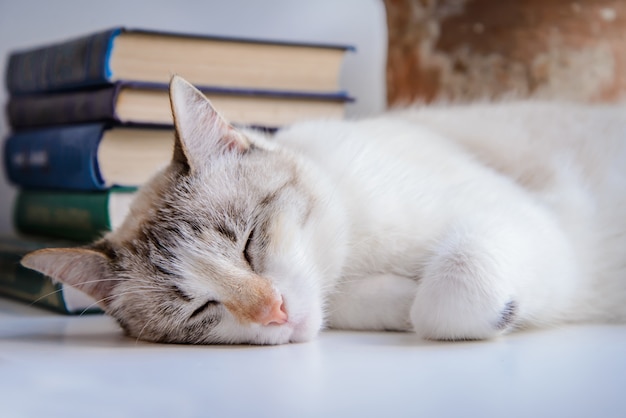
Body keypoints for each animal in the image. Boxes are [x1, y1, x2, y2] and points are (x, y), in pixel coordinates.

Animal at [19, 76, 624, 344]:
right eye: (199, 308)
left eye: (250, 242)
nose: (275, 311)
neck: (349, 256)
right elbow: (412, 302)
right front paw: (401, 297)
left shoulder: (529, 221)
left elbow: (448, 290)